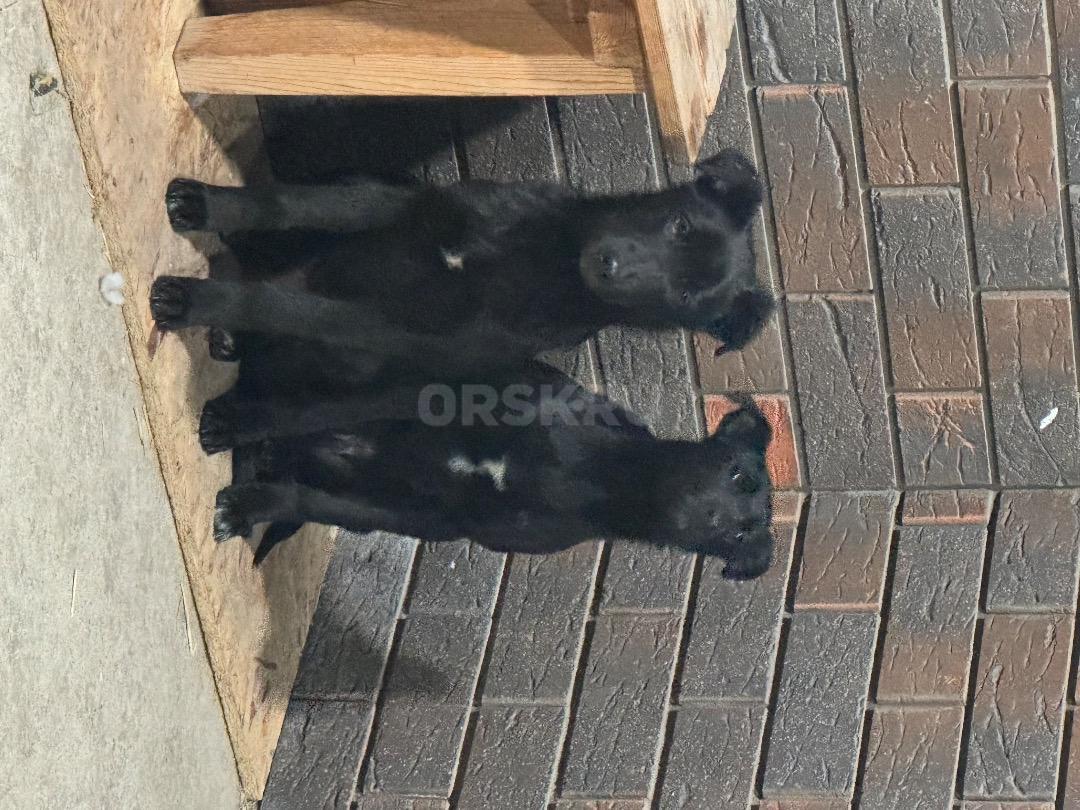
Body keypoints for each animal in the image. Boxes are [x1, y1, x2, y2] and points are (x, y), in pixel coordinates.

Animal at [148, 149, 774, 377]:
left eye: (684, 298)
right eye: (679, 224)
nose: (610, 265)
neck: (543, 257)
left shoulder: (386, 326)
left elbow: (286, 308)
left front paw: (194, 301)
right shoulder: (404, 207)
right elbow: (293, 203)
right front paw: (207, 204)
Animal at [209, 362, 775, 579]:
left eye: (742, 535)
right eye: (738, 475)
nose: (717, 521)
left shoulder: (426, 519)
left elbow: (317, 502)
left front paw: (252, 505)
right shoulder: (440, 396)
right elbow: (323, 408)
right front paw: (237, 424)